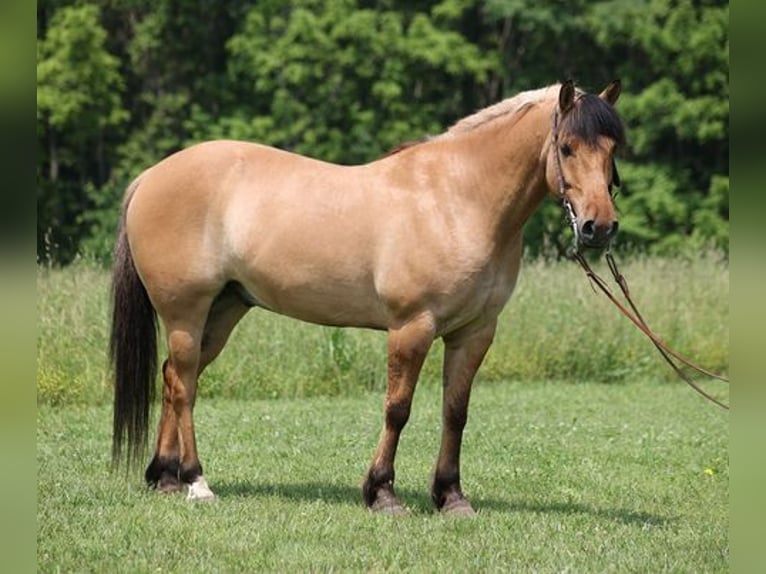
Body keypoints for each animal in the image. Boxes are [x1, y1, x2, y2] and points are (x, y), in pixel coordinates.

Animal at [109, 79, 624, 516]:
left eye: (612, 149)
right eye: (566, 147)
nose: (598, 227)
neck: (457, 200)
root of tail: (150, 177)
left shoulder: (474, 333)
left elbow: (455, 412)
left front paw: (451, 497)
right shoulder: (412, 327)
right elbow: (398, 409)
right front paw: (382, 494)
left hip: (223, 311)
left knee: (173, 378)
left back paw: (166, 478)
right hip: (186, 311)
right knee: (184, 386)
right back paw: (196, 482)